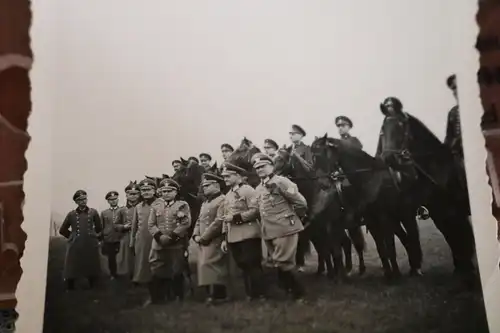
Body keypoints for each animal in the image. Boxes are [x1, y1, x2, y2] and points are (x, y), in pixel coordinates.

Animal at [274, 148, 368, 278]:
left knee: (356, 244)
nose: (270, 176)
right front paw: (330, 272)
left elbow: (334, 252)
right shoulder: (319, 229)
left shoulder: (329, 227)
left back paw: (359, 269)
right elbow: (326, 251)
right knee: (347, 243)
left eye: (281, 159)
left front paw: (336, 275)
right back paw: (348, 268)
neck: (317, 192)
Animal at [310, 135, 424, 280]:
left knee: (412, 236)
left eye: (321, 154)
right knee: (406, 239)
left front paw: (396, 275)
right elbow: (381, 248)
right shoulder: (371, 221)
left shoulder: (383, 219)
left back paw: (416, 268)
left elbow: (390, 247)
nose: (322, 184)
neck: (369, 179)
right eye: (313, 157)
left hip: (405, 215)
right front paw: (388, 274)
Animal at [378, 111, 476, 278]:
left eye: (401, 125)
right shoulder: (440, 214)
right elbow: (452, 237)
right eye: (383, 129)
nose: (388, 158)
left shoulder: (453, 212)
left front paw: (466, 266)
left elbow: (460, 236)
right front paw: (461, 267)